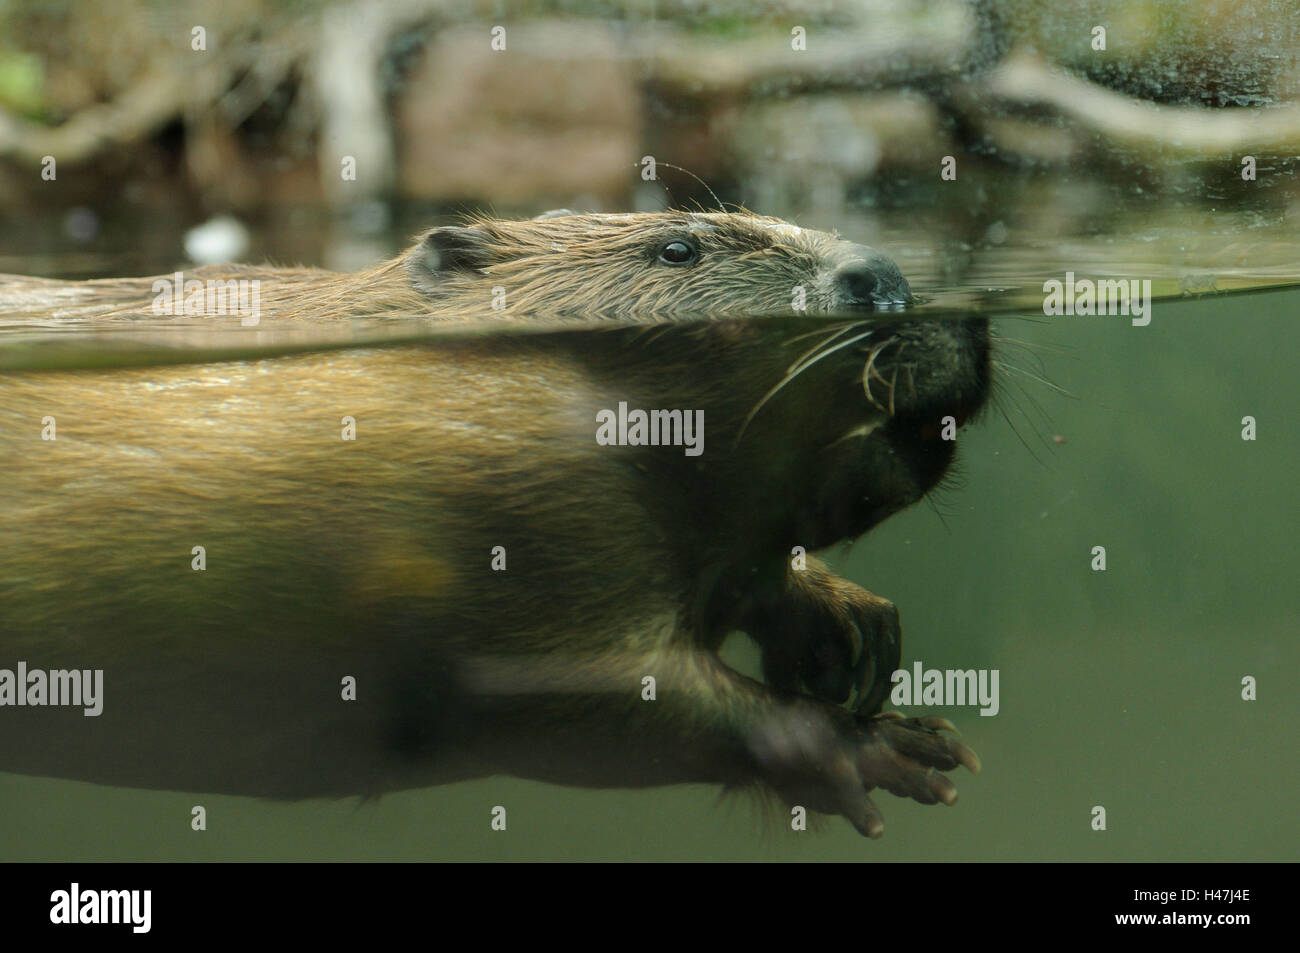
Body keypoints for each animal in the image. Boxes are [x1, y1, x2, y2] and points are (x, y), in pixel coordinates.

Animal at [0, 211, 982, 837]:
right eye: (677, 249)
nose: (887, 281)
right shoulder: (527, 492)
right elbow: (596, 685)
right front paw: (895, 747)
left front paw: (855, 632)